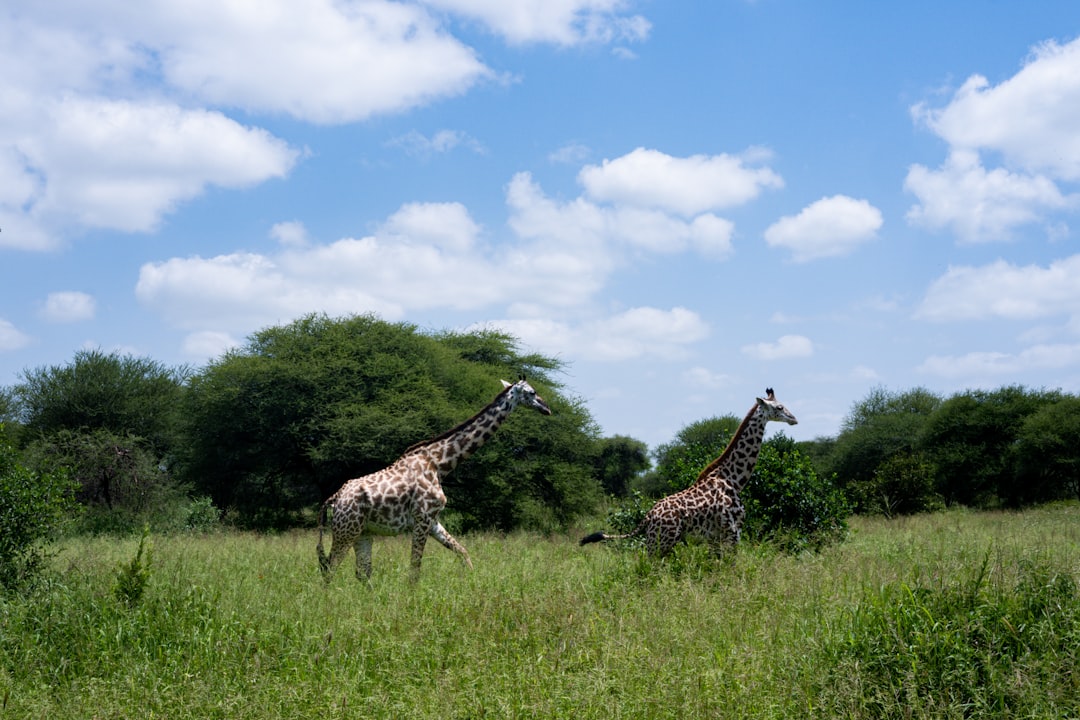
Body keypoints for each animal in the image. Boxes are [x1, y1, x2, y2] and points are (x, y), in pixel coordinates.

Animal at [317, 378, 552, 581]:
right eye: (532, 392)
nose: (547, 408)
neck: (439, 464)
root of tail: (333, 499)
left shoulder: (433, 520)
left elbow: (463, 553)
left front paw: (472, 582)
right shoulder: (422, 518)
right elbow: (414, 570)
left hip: (363, 532)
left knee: (362, 573)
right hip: (346, 530)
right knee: (330, 568)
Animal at [580, 388, 797, 557]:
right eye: (779, 407)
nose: (793, 418)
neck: (734, 479)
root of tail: (648, 516)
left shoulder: (714, 537)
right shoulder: (733, 531)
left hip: (658, 542)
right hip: (662, 542)